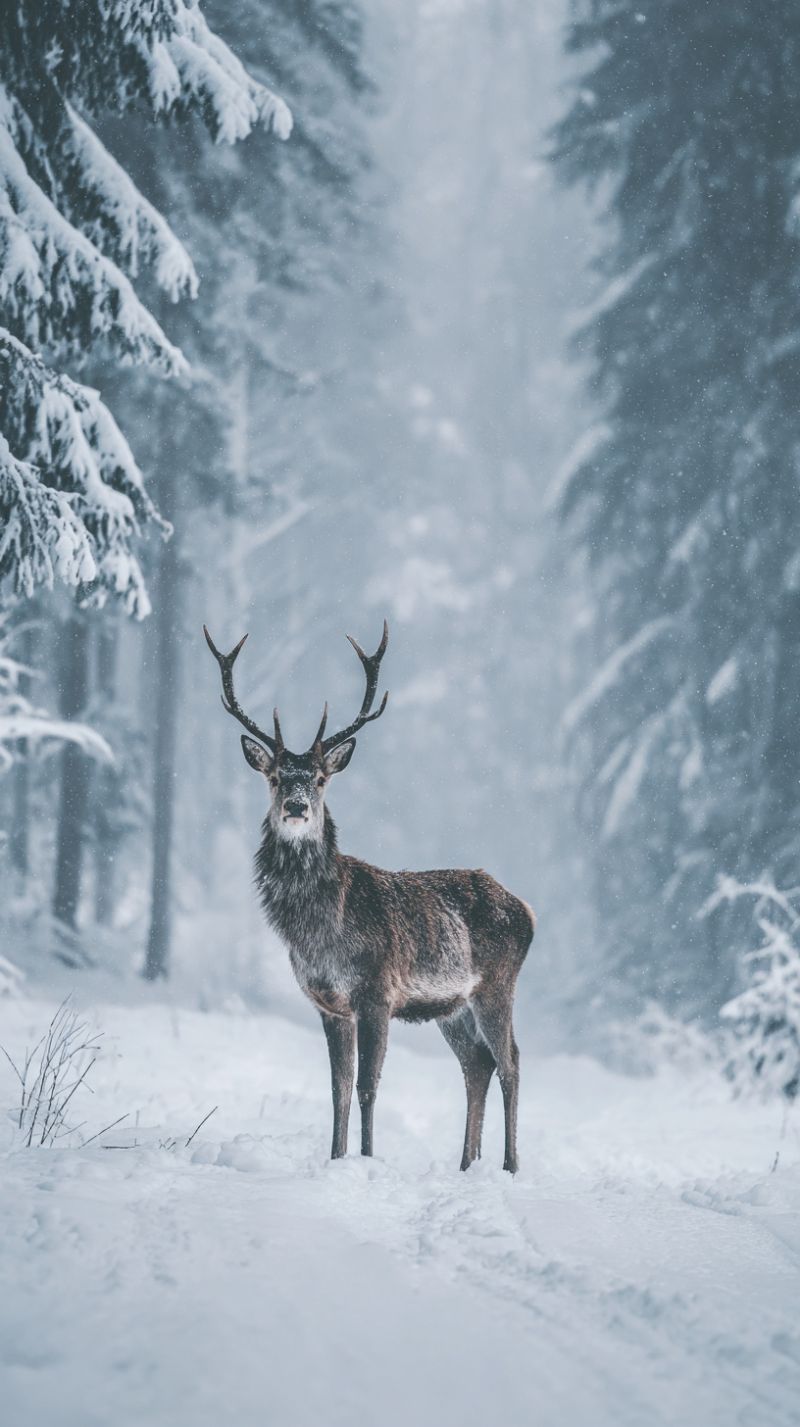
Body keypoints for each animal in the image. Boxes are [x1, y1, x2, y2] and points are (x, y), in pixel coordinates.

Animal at [203, 620, 535, 1173]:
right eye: (275, 777)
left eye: (319, 779)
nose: (296, 807)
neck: (322, 930)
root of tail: (527, 910)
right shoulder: (330, 1004)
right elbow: (337, 1088)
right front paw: (336, 1158)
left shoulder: (377, 991)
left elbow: (366, 1086)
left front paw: (366, 1159)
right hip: (452, 1007)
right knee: (477, 1063)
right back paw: (466, 1165)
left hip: (497, 984)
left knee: (510, 1059)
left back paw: (509, 1166)